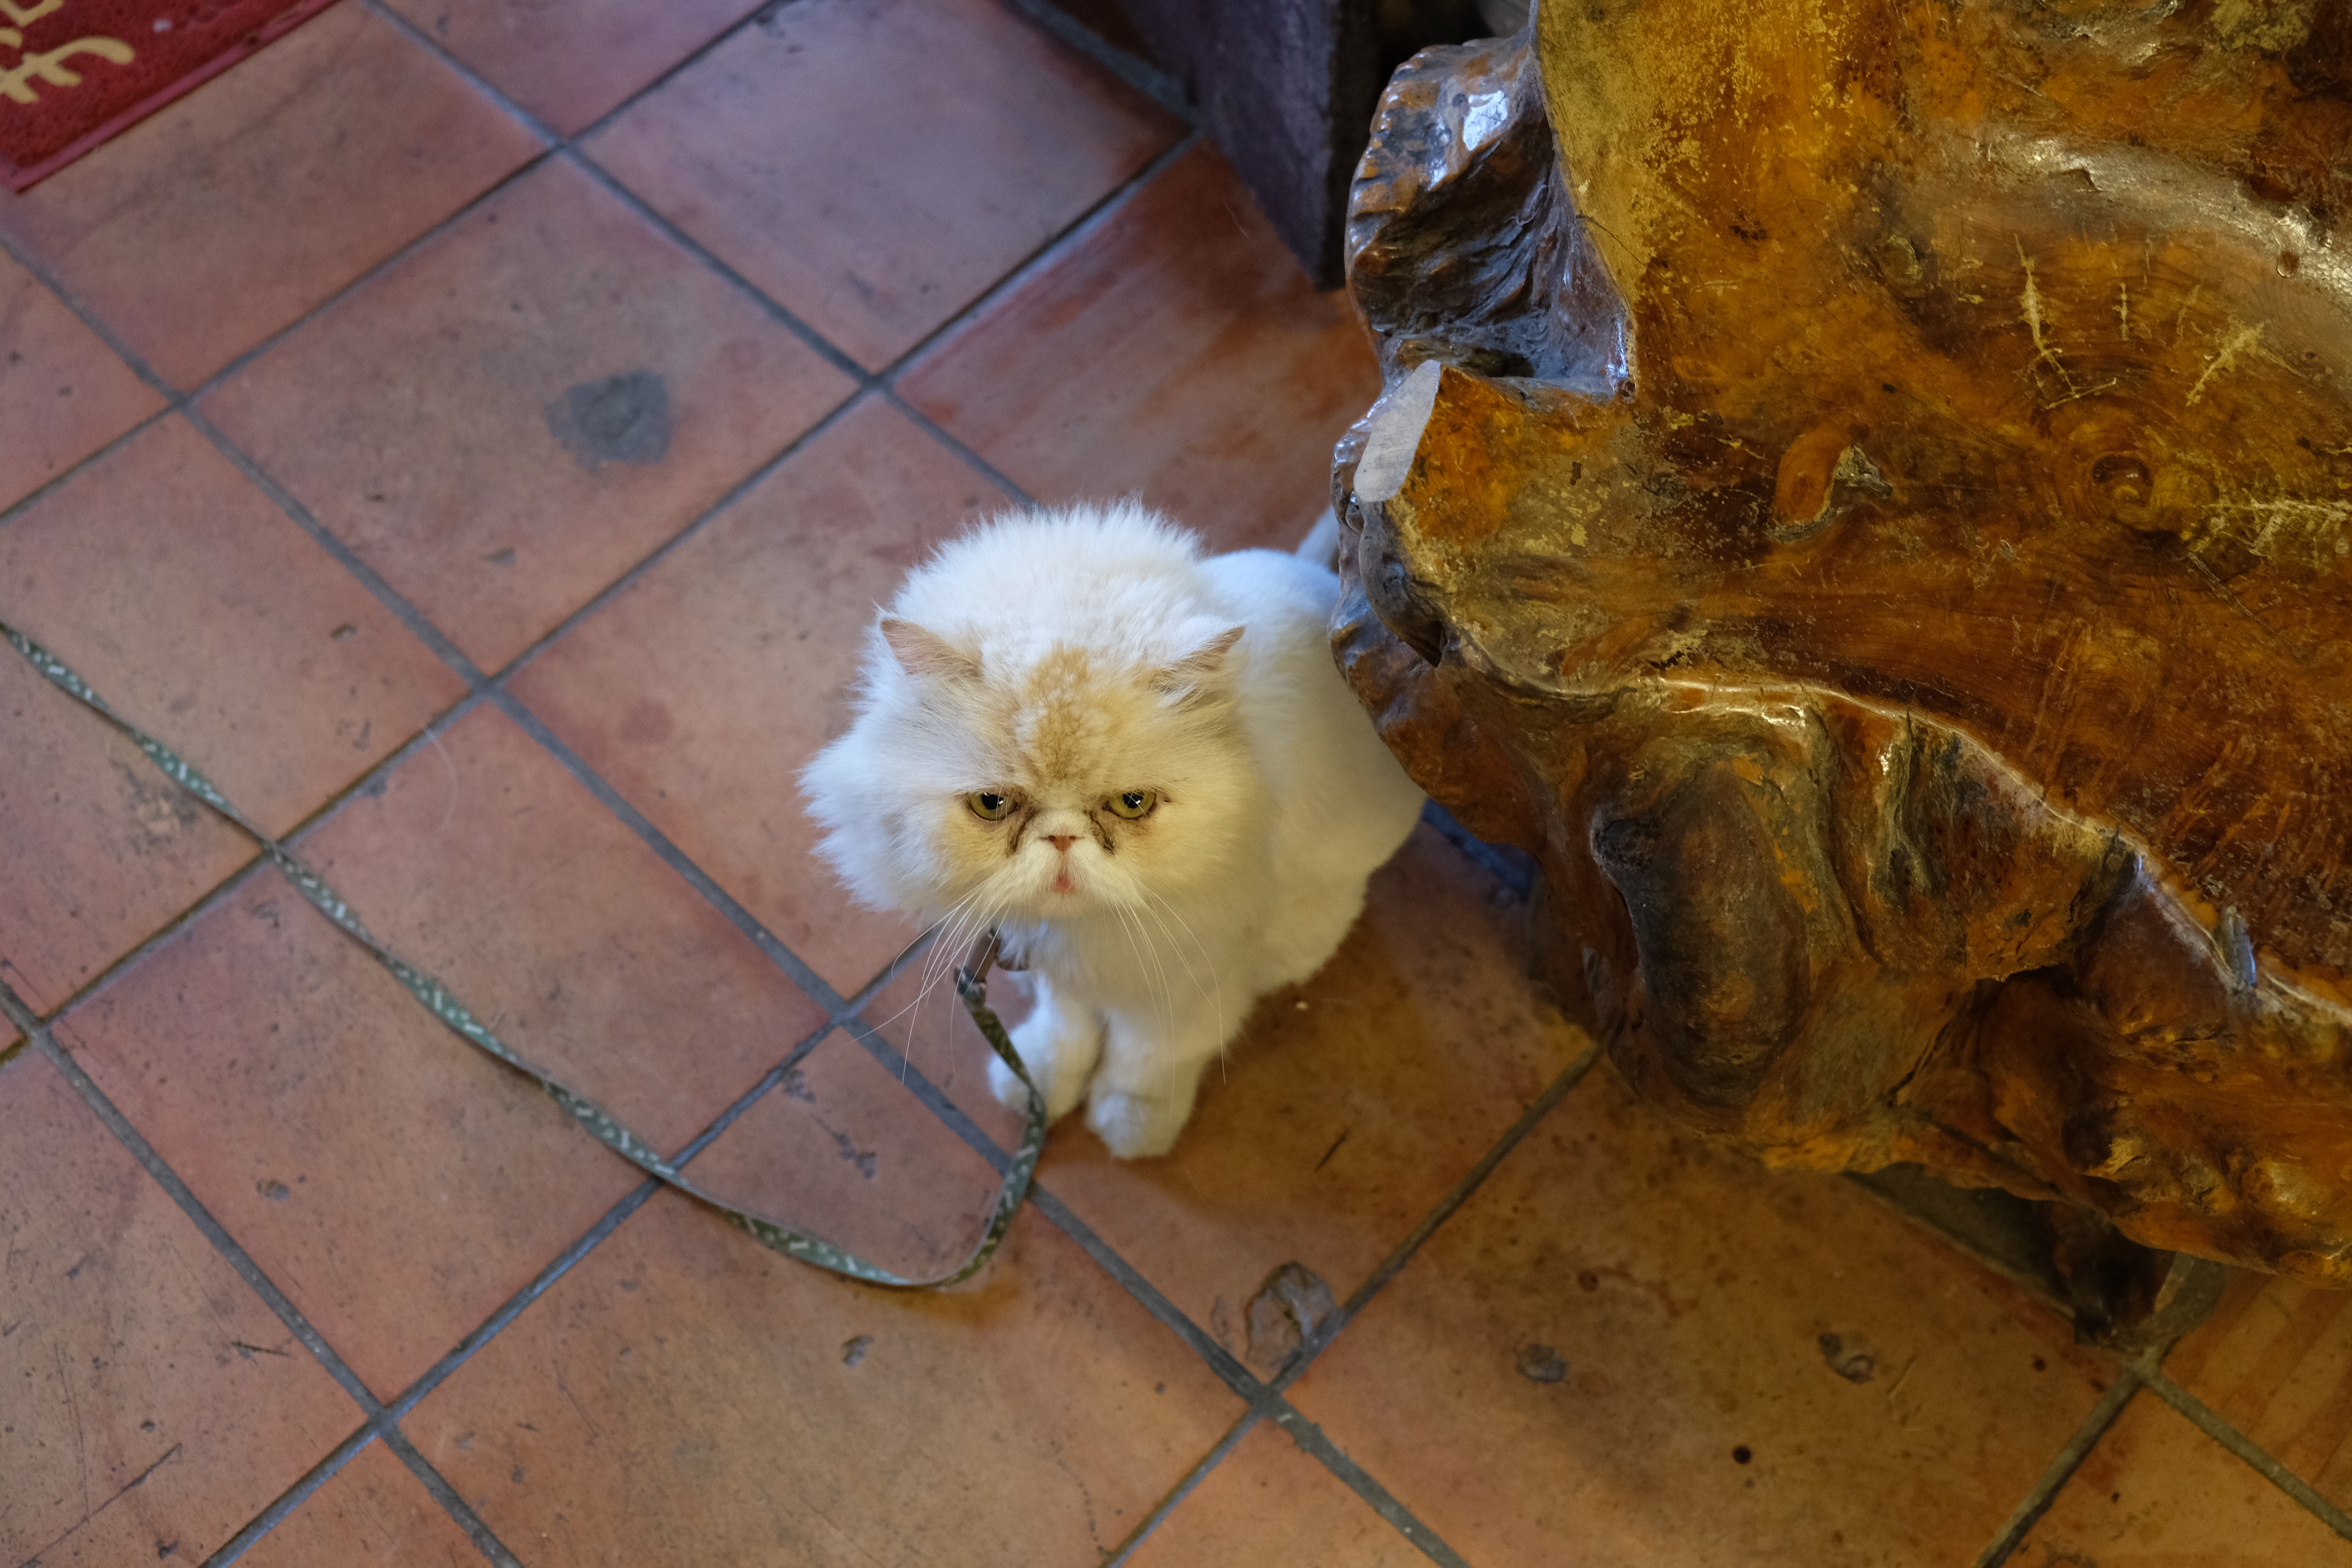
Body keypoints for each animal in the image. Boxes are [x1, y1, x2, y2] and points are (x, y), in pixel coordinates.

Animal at [800, 496, 1421, 1161]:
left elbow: (1155, 1056)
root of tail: (1320, 581)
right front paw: (1040, 1085)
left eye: (1131, 803)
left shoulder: (1194, 970)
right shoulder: (1056, 957)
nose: (1062, 838)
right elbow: (1066, 1030)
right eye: (992, 805)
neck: (1085, 932)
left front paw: (1132, 1124)